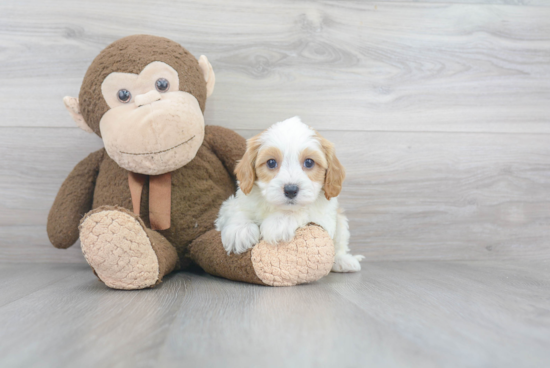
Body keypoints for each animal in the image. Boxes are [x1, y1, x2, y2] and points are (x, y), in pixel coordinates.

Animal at [217, 116, 366, 272]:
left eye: (309, 162)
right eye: (271, 162)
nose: (290, 190)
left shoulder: (325, 216)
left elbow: (304, 210)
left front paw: (279, 222)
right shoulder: (234, 202)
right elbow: (238, 210)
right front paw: (239, 230)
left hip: (340, 222)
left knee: (339, 244)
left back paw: (343, 260)